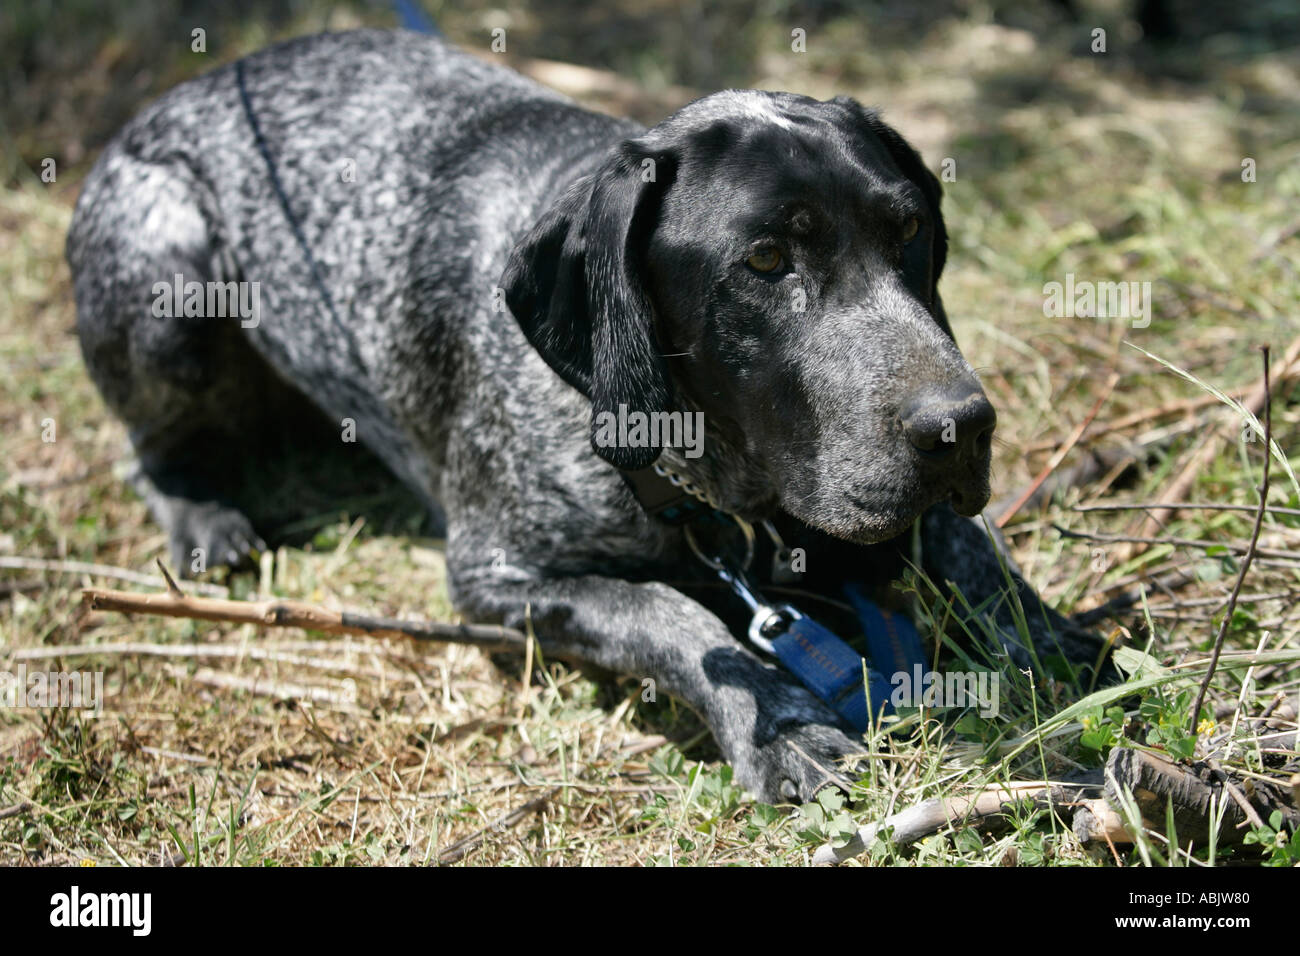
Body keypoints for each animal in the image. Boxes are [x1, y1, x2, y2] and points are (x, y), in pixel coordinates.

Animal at [68, 29, 1107, 806]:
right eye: (767, 261)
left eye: (910, 230)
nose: (962, 427)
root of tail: (182, 89)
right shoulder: (497, 573)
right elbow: (676, 618)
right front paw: (787, 727)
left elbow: (975, 552)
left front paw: (1051, 636)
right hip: (169, 294)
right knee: (148, 447)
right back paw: (203, 517)